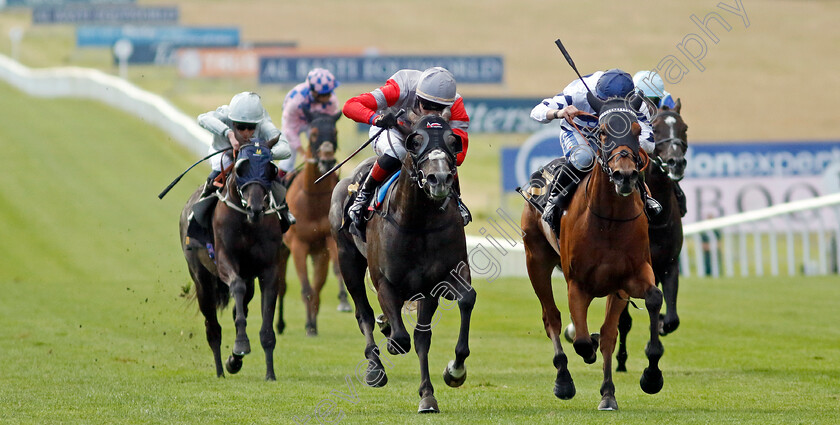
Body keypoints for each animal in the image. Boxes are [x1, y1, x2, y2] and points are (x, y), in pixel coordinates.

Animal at [179, 142, 288, 378]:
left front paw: (270, 373)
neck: (247, 224)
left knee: (240, 308)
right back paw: (220, 370)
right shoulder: (224, 262)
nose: (255, 209)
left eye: (271, 169)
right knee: (212, 326)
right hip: (201, 278)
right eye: (240, 169)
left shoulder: (269, 270)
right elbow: (236, 287)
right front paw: (241, 344)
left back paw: (233, 362)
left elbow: (265, 323)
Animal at [280, 111, 350, 336]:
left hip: (319, 254)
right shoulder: (297, 245)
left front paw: (343, 301)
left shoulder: (328, 241)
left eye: (334, 132)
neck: (313, 200)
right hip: (281, 251)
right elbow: (305, 288)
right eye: (313, 133)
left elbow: (333, 273)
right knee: (281, 286)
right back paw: (280, 324)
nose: (327, 159)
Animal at [326, 114, 472, 412]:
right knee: (363, 313)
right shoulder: (385, 282)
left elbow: (433, 328)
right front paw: (391, 343)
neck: (417, 222)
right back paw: (374, 366)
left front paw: (446, 378)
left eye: (454, 142)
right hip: (348, 261)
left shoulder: (439, 280)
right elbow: (402, 338)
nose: (440, 179)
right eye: (414, 142)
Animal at [520, 94, 668, 410]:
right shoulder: (578, 284)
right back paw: (563, 380)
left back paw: (608, 392)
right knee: (551, 317)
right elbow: (582, 339)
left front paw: (650, 377)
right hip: (536, 260)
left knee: (608, 332)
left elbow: (650, 301)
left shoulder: (629, 278)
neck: (608, 220)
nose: (624, 176)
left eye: (638, 130)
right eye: (602, 132)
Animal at [612, 99, 684, 372]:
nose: (676, 162)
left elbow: (672, 318)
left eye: (684, 128)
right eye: (657, 129)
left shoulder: (669, 264)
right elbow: (623, 320)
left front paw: (662, 323)